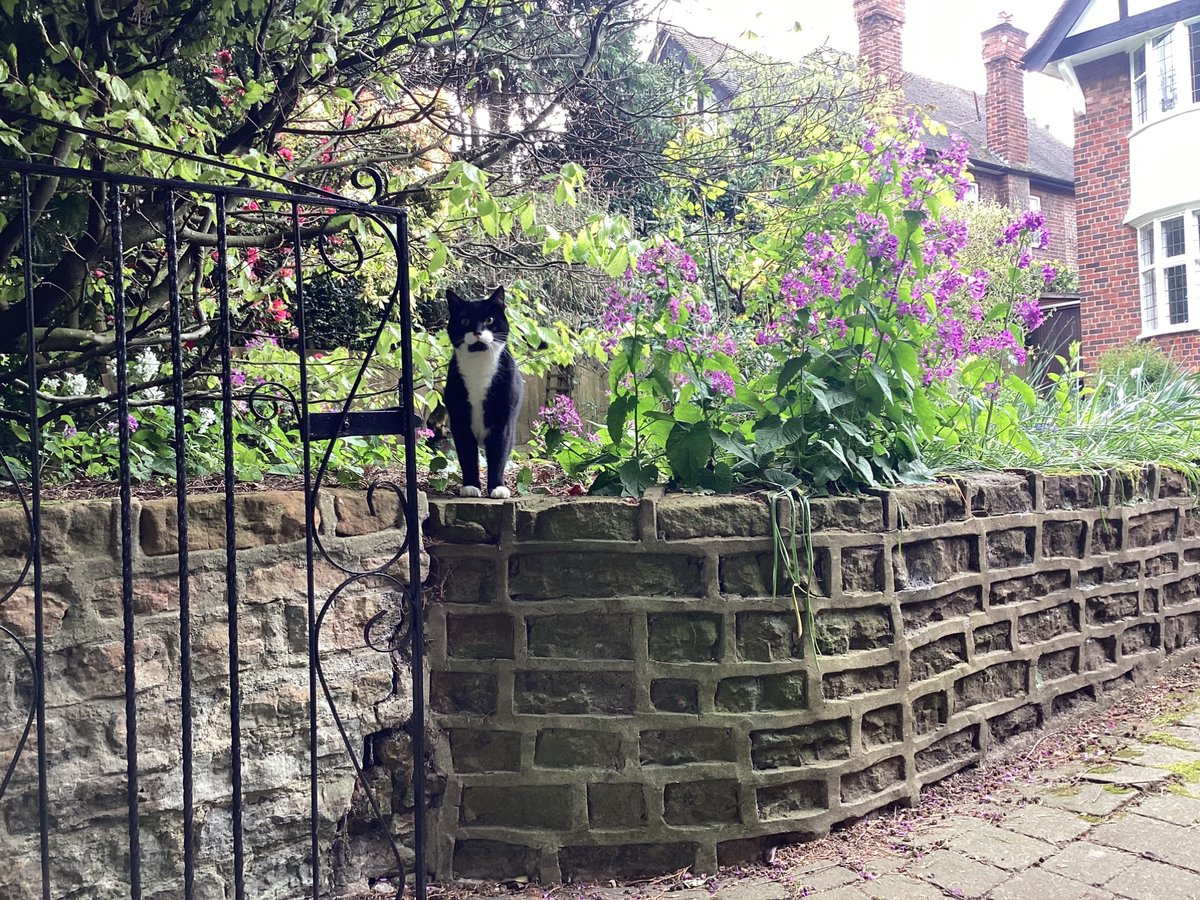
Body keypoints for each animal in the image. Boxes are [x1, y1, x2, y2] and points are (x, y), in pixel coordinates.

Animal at [444, 286, 523, 501]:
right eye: (464, 321)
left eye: (489, 319)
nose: (477, 331)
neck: (479, 368)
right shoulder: (459, 420)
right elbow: (467, 455)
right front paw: (471, 486)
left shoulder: (504, 421)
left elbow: (498, 455)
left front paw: (497, 488)